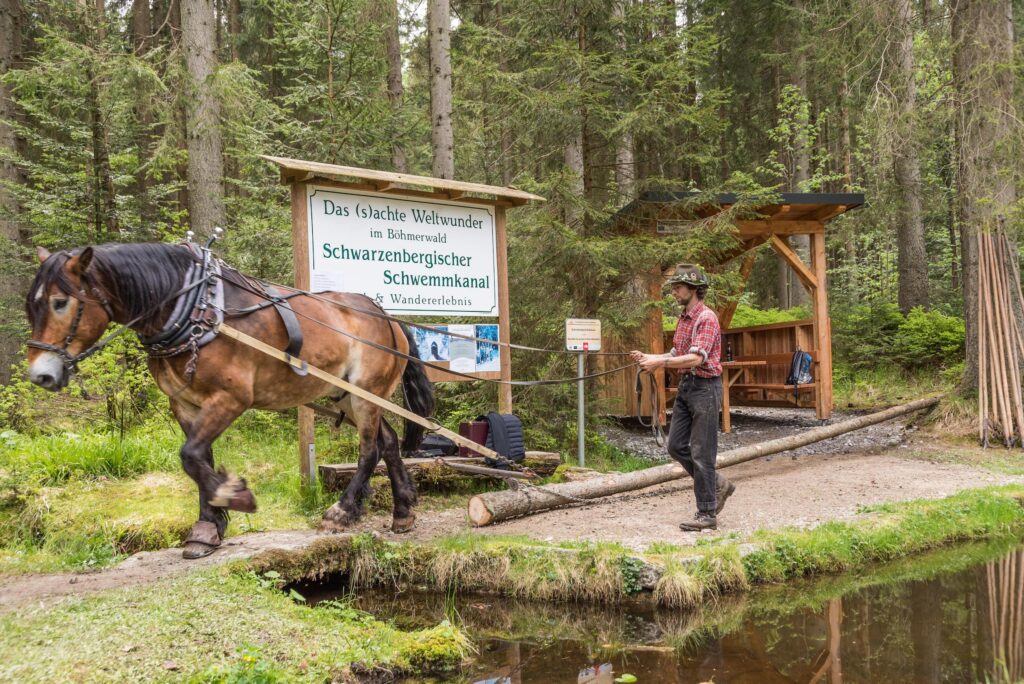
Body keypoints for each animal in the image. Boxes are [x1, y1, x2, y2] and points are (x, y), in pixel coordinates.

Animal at [24, 241, 434, 559]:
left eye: (60, 302)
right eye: (32, 306)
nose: (40, 375)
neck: (196, 311)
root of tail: (386, 315)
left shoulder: (231, 397)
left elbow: (189, 454)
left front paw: (236, 497)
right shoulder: (185, 404)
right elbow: (199, 459)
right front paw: (207, 528)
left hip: (368, 394)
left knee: (369, 450)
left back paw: (341, 511)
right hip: (347, 395)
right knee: (389, 443)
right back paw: (402, 511)